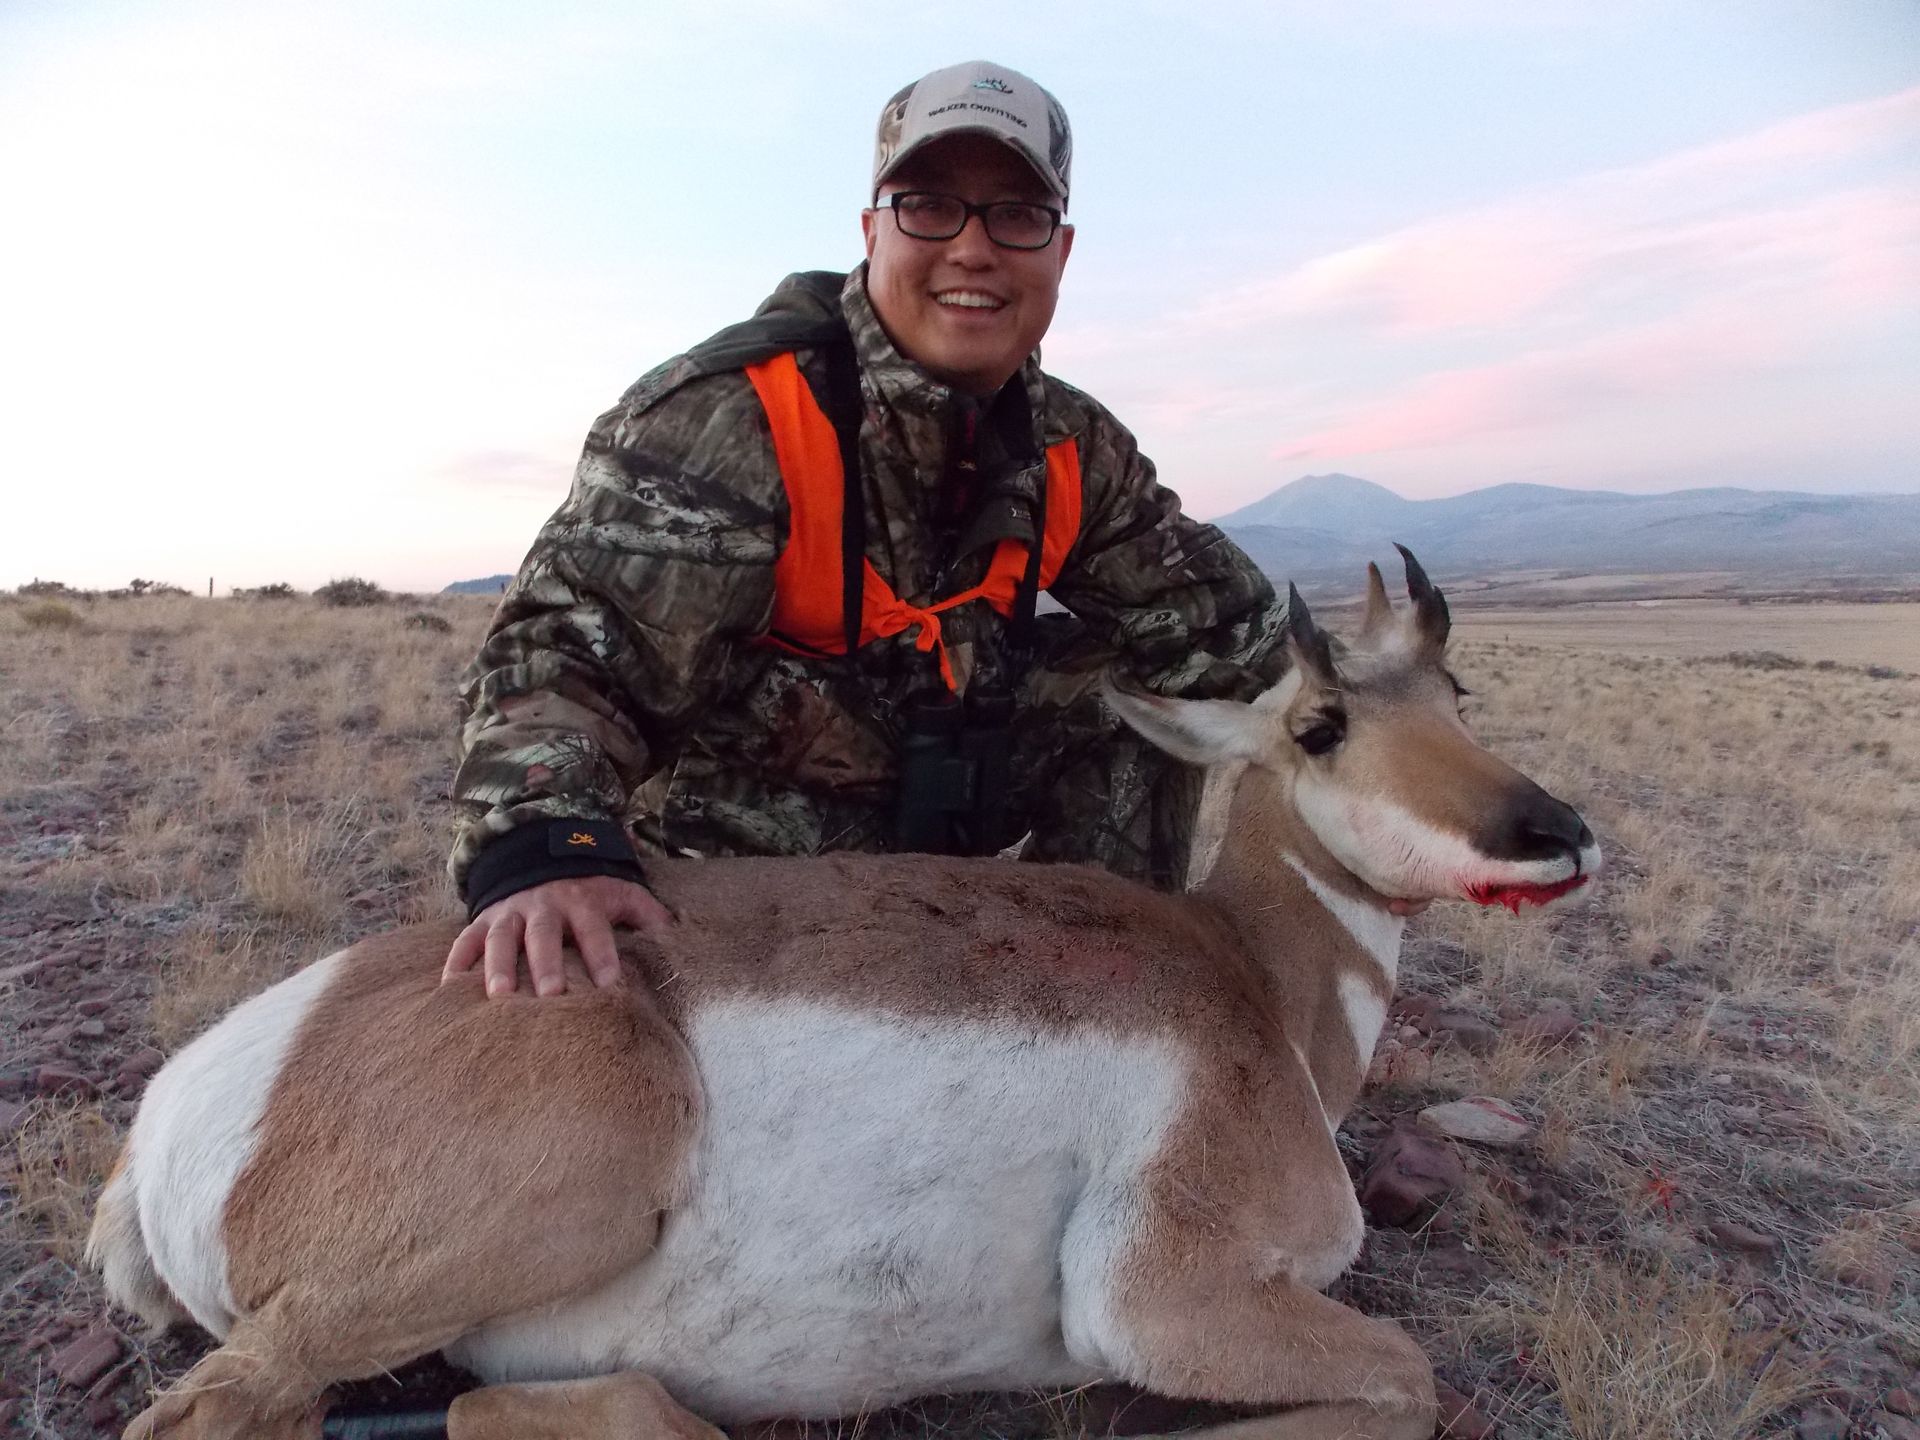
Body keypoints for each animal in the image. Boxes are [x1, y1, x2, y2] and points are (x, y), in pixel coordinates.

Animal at [89, 549, 1599, 1440]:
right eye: (1320, 725)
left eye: (1458, 691)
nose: (1557, 832)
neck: (1253, 983)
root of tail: (182, 1106)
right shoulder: (1164, 1298)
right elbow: (1407, 1379)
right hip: (563, 1192)